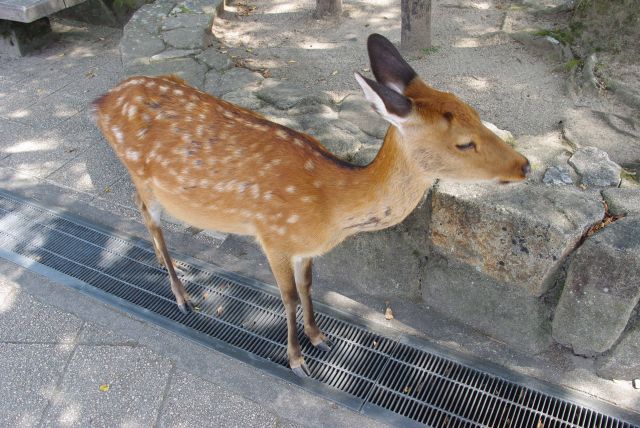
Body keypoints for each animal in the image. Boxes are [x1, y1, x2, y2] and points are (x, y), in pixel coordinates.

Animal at [91, 35, 528, 380]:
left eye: (479, 115)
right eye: (464, 142)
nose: (524, 165)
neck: (330, 207)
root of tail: (102, 100)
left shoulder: (304, 248)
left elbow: (307, 287)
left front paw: (319, 338)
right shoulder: (273, 235)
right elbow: (286, 296)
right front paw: (296, 359)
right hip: (140, 174)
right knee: (148, 214)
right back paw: (181, 295)